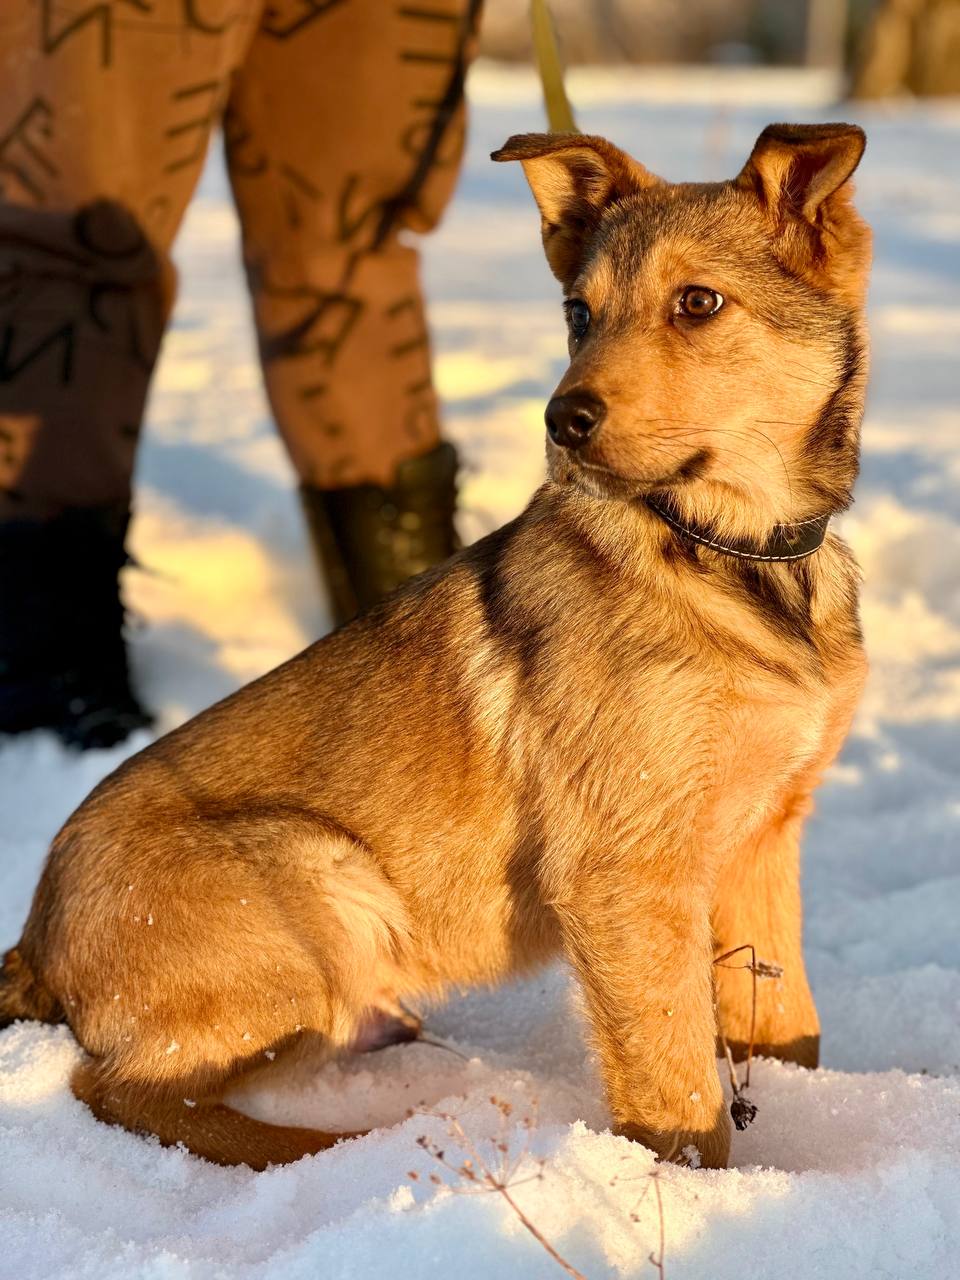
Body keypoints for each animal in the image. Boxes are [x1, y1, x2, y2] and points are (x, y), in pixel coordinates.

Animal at [0, 122, 870, 1172]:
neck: (732, 553)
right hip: (317, 883)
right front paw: (693, 1189)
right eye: (579, 313)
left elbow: (784, 1026)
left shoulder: (762, 835)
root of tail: (36, 941)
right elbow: (679, 1089)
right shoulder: (626, 872)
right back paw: (318, 1147)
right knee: (124, 1090)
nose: (561, 422)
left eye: (698, 303)